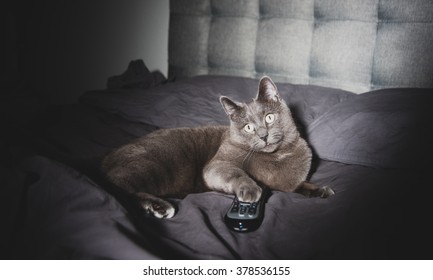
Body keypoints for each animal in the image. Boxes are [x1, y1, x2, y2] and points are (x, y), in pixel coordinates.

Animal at [99, 76, 332, 219]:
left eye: (269, 117)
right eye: (248, 127)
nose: (263, 136)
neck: (279, 156)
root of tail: (107, 157)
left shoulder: (287, 184)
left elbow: (299, 185)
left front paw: (320, 189)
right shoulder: (217, 164)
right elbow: (235, 173)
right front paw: (250, 190)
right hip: (153, 163)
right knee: (117, 185)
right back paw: (160, 207)